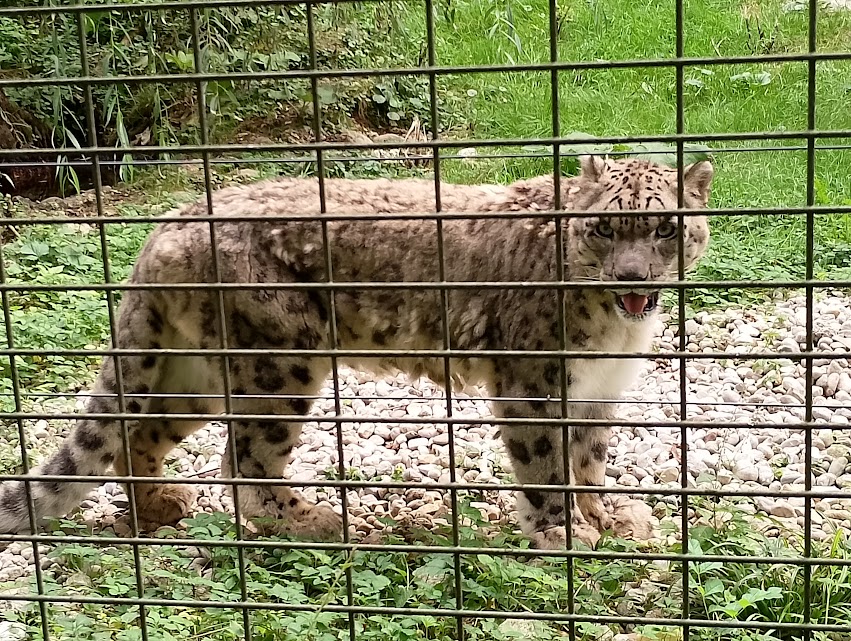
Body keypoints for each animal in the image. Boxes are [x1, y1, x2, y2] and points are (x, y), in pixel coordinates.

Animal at [0, 155, 713, 549]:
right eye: (604, 227)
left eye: (665, 227)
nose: (632, 277)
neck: (616, 333)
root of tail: (166, 227)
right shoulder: (532, 382)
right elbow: (545, 465)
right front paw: (563, 533)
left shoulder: (598, 389)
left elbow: (588, 459)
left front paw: (606, 517)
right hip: (282, 361)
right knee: (246, 460)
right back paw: (317, 521)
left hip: (197, 370)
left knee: (141, 431)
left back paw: (158, 507)